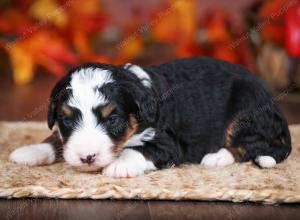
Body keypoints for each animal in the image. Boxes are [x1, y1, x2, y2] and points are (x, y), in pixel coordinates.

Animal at [9, 57, 290, 178]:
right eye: (66, 120)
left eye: (112, 120)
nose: (87, 158)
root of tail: (273, 101)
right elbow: (56, 138)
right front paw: (31, 151)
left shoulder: (168, 143)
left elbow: (138, 150)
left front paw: (119, 165)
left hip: (246, 110)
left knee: (251, 143)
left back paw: (217, 157)